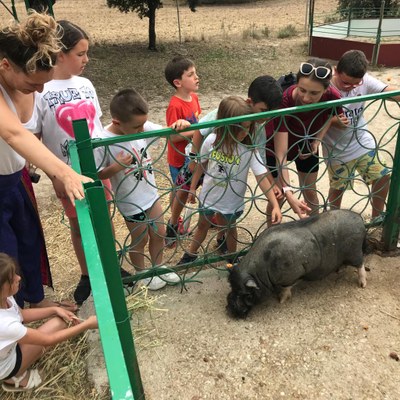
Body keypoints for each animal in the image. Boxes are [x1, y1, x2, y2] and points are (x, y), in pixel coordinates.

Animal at [227, 209, 368, 318]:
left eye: (247, 295)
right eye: (232, 287)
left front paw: (281, 300)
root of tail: (359, 219)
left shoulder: (291, 274)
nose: (230, 309)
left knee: (360, 265)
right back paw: (339, 270)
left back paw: (362, 285)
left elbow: (287, 288)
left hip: (354, 251)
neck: (261, 271)